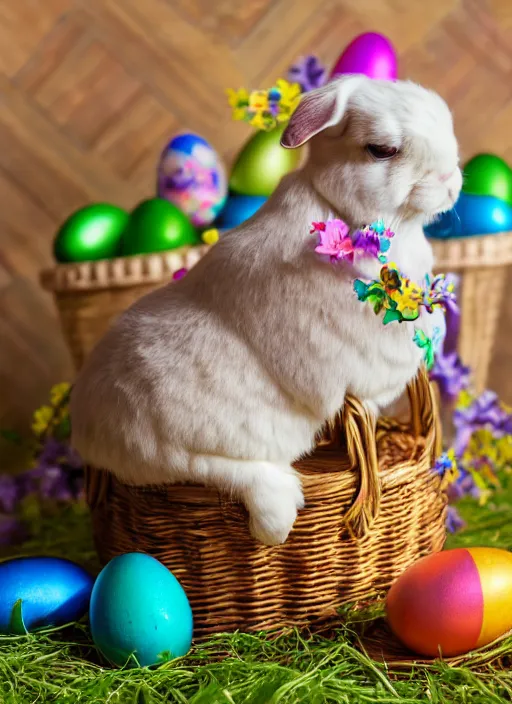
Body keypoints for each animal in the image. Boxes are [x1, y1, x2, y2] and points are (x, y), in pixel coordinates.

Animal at [69, 80, 464, 548]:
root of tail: (89, 427)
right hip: (184, 441)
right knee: (214, 469)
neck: (344, 213)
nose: (452, 183)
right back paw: (277, 516)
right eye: (382, 150)